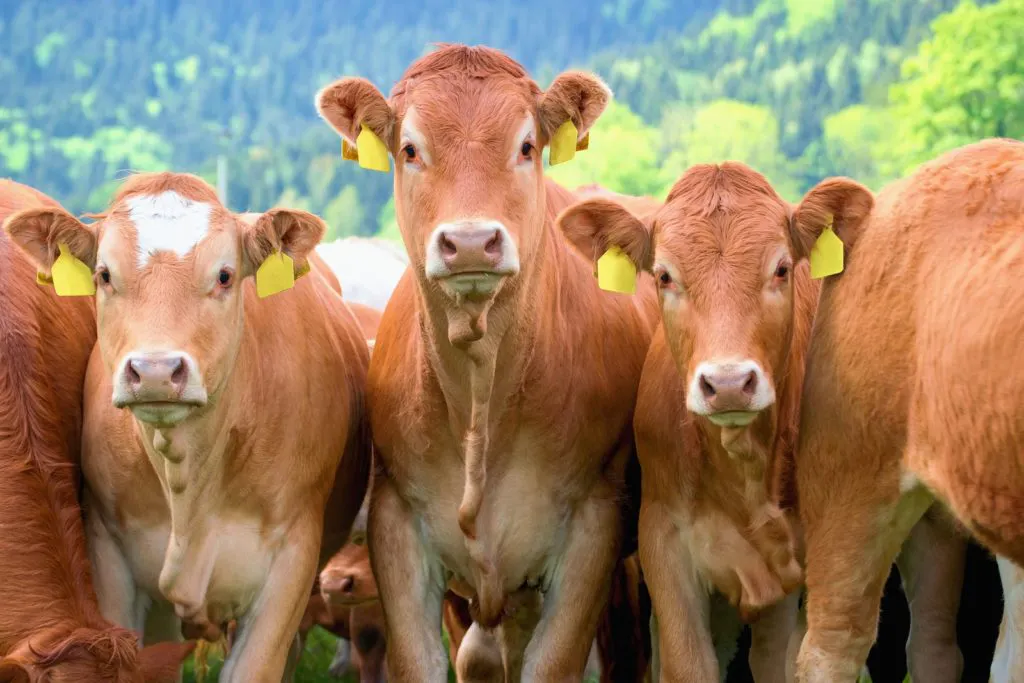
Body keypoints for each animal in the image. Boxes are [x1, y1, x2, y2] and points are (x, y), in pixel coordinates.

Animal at [315, 43, 660, 680]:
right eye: (409, 148)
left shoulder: (593, 530)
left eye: (526, 145)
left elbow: (554, 665)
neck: (481, 397)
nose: (472, 242)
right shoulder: (397, 526)